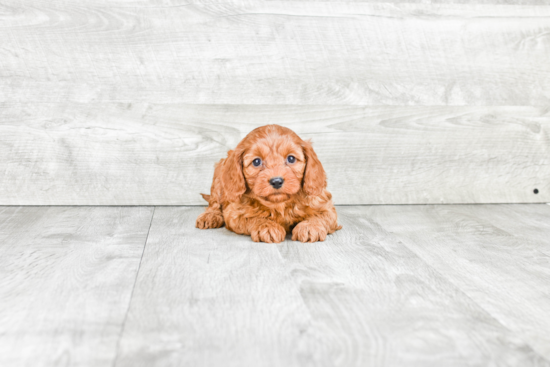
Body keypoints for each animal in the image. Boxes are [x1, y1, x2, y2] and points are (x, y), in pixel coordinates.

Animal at [196, 125, 342, 243]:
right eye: (256, 162)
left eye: (291, 158)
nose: (276, 181)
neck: (280, 204)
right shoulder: (234, 212)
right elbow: (252, 217)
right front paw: (267, 226)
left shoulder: (324, 205)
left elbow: (321, 216)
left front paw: (309, 226)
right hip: (218, 176)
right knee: (214, 203)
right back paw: (210, 216)